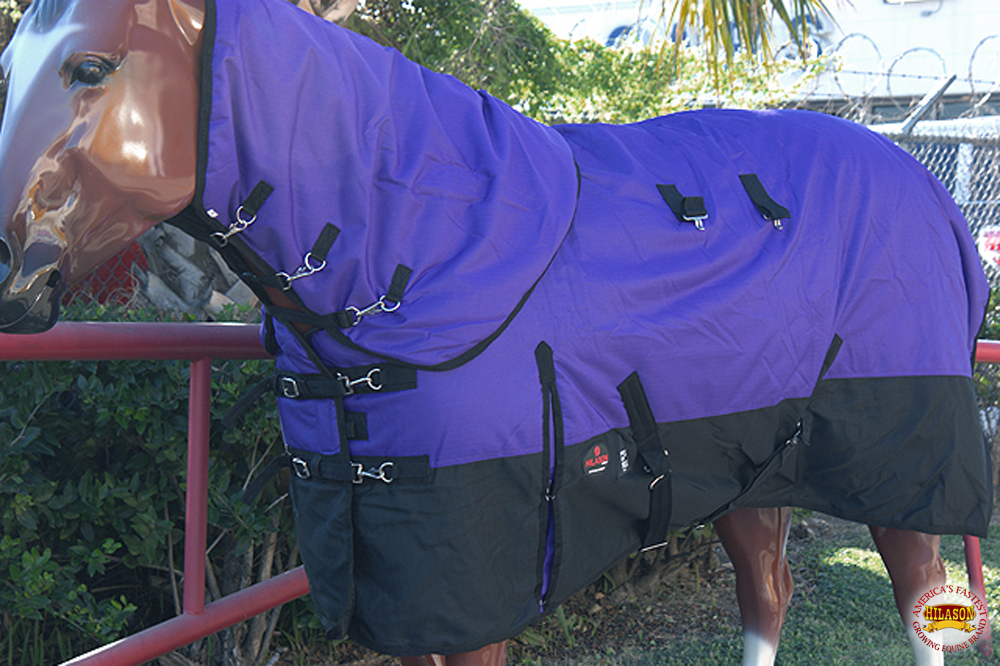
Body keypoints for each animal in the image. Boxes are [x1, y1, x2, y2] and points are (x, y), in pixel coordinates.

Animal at [0, 1, 991, 665]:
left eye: (89, 67)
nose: (14, 274)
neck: (428, 242)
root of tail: (934, 195)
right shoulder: (398, 580)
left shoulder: (473, 582)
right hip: (752, 461)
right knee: (768, 593)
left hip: (907, 462)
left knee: (918, 600)